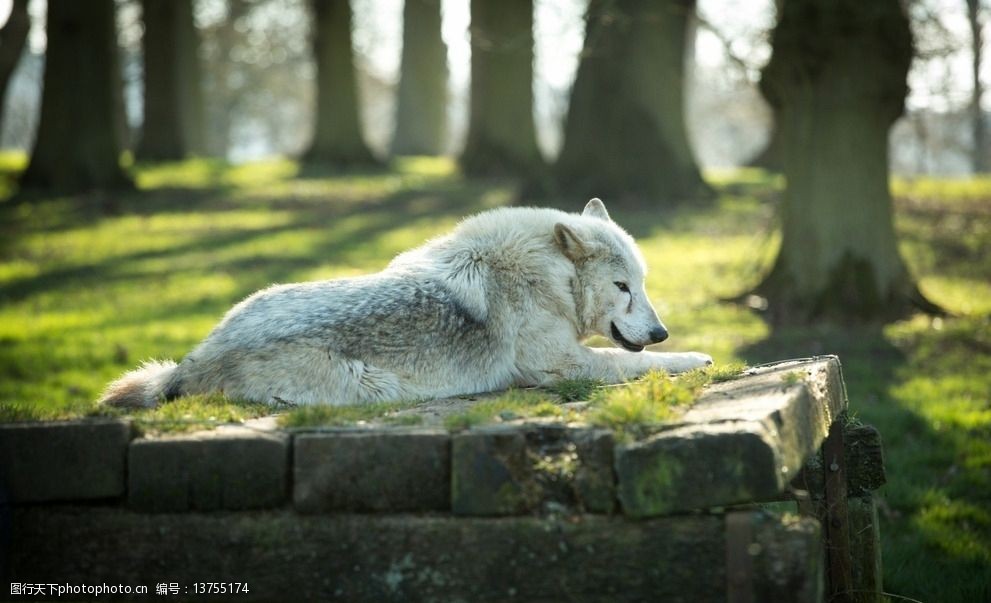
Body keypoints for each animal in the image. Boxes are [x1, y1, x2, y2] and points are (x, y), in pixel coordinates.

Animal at [101, 201, 712, 408]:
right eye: (623, 288)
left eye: (643, 284)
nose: (660, 330)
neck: (548, 277)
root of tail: (192, 361)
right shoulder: (563, 365)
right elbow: (641, 364)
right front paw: (694, 357)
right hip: (373, 386)